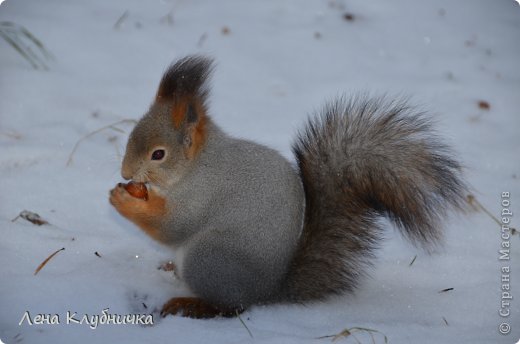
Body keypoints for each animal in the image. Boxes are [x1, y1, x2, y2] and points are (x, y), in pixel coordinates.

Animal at [108, 54, 468, 320]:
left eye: (158, 154)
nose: (125, 171)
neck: (195, 166)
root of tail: (270, 290)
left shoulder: (202, 195)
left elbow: (173, 227)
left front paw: (126, 202)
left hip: (208, 258)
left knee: (232, 307)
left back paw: (192, 304)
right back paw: (171, 269)